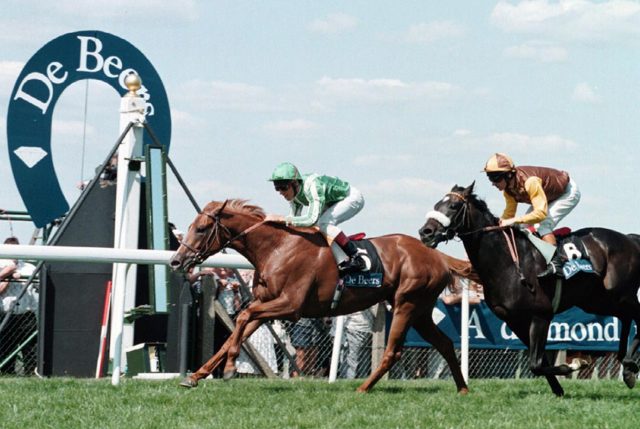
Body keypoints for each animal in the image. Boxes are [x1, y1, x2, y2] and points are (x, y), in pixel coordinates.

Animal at [168, 199, 478, 392]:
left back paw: (363, 388)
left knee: (393, 350)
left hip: (407, 304)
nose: (176, 261)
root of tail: (437, 256)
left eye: (202, 228)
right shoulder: (265, 303)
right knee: (445, 343)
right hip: (422, 311)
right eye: (192, 227)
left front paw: (231, 367)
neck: (276, 247)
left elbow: (242, 318)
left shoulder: (290, 306)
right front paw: (195, 376)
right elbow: (236, 331)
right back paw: (462, 389)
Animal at [418, 182, 640, 396]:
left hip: (620, 294)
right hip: (596, 301)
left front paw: (573, 365)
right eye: (437, 204)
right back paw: (627, 365)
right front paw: (559, 389)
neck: (508, 263)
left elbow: (536, 363)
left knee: (634, 315)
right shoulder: (514, 319)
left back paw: (629, 364)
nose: (425, 232)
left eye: (454, 206)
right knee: (625, 316)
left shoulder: (541, 315)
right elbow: (539, 362)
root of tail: (630, 238)